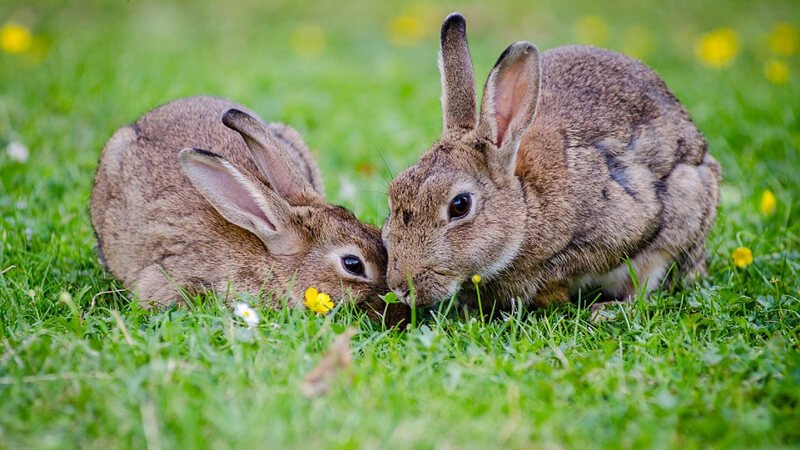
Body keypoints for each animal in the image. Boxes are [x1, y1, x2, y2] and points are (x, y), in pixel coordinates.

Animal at [378, 13, 720, 310]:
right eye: (394, 193)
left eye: (460, 205)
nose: (401, 287)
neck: (526, 206)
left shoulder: (622, 225)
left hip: (686, 205)